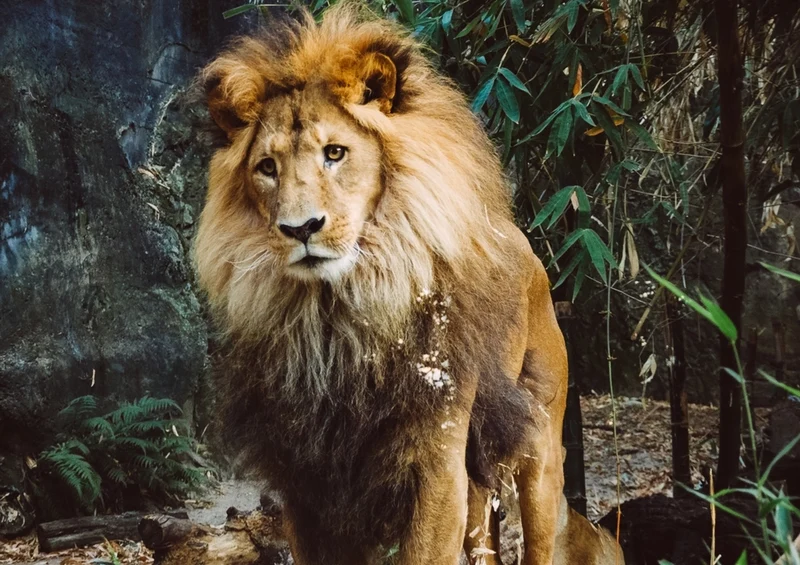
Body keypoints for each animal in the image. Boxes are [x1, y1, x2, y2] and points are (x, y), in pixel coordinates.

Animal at [194, 4, 623, 565]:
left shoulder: (436, 462)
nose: (300, 228)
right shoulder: (306, 480)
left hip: (541, 447)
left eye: (335, 153)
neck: (337, 317)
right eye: (267, 167)